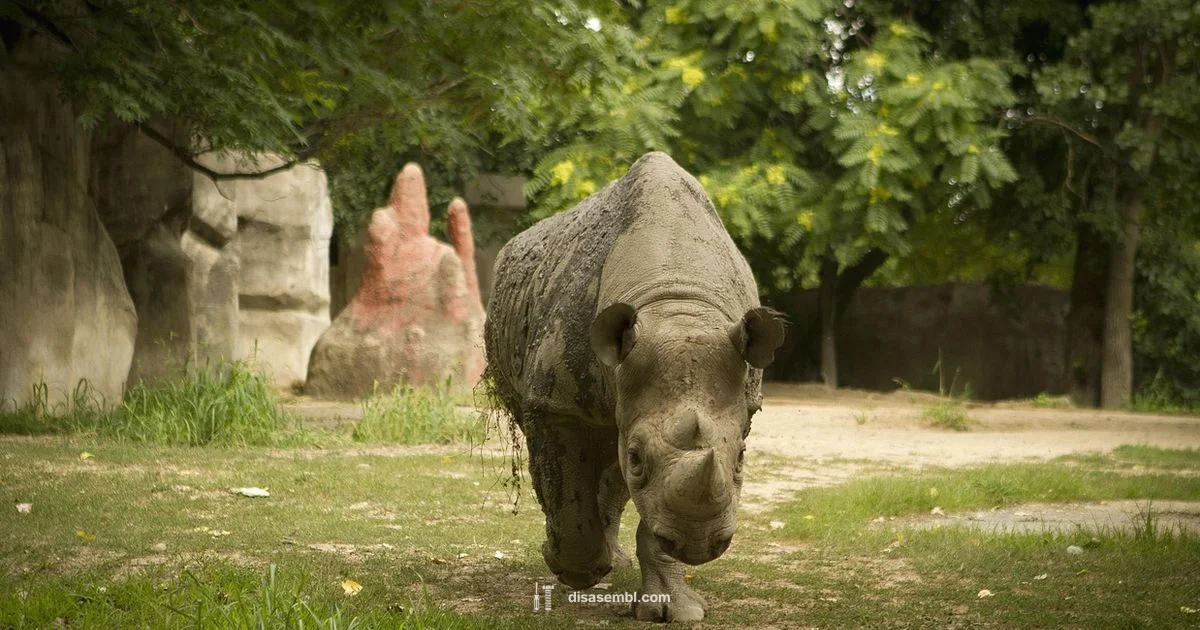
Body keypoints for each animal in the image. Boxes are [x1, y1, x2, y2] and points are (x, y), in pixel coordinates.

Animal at [484, 152, 785, 622]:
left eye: (741, 458)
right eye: (637, 457)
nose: (699, 545)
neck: (675, 300)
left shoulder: (737, 404)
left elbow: (659, 502)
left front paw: (676, 611)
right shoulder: (555, 403)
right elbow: (569, 494)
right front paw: (576, 571)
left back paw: (615, 560)